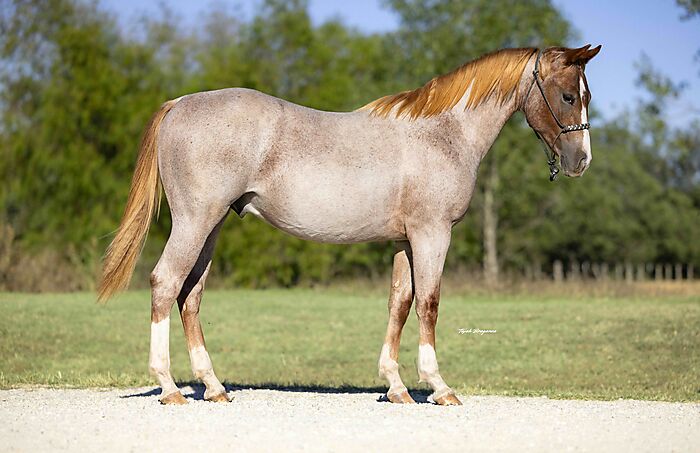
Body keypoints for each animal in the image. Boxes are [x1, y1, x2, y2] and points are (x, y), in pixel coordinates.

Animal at [98, 44, 601, 405]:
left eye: (586, 95)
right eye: (567, 96)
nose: (581, 162)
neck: (443, 132)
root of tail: (180, 103)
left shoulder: (405, 241)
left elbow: (399, 304)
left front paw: (396, 387)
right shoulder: (432, 234)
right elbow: (429, 305)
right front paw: (438, 387)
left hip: (213, 225)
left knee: (190, 295)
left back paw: (215, 387)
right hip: (194, 221)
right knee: (165, 284)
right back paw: (169, 388)